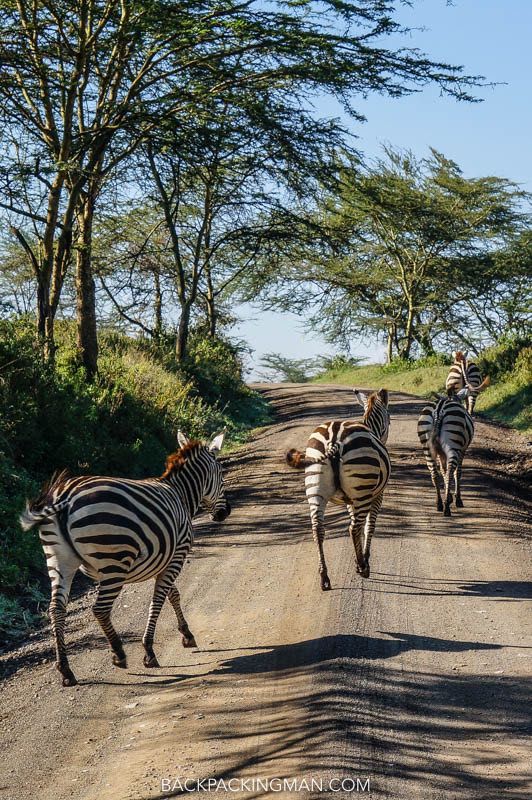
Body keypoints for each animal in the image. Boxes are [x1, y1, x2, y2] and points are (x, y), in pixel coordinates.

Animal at [18, 432, 231, 688]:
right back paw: (119, 653)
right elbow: (159, 599)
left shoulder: (163, 561)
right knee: (100, 609)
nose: (225, 513)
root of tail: (64, 496)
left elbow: (173, 594)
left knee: (56, 609)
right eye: (221, 474)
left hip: (59, 561)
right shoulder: (176, 555)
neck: (180, 494)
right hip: (114, 561)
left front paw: (186, 635)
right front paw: (149, 650)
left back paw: (66, 670)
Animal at [286, 390, 390, 592]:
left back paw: (324, 577)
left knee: (318, 530)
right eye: (389, 419)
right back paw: (363, 567)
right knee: (353, 528)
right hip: (362, 488)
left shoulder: (350, 500)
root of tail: (334, 440)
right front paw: (363, 560)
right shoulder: (376, 496)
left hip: (315, 488)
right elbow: (369, 526)